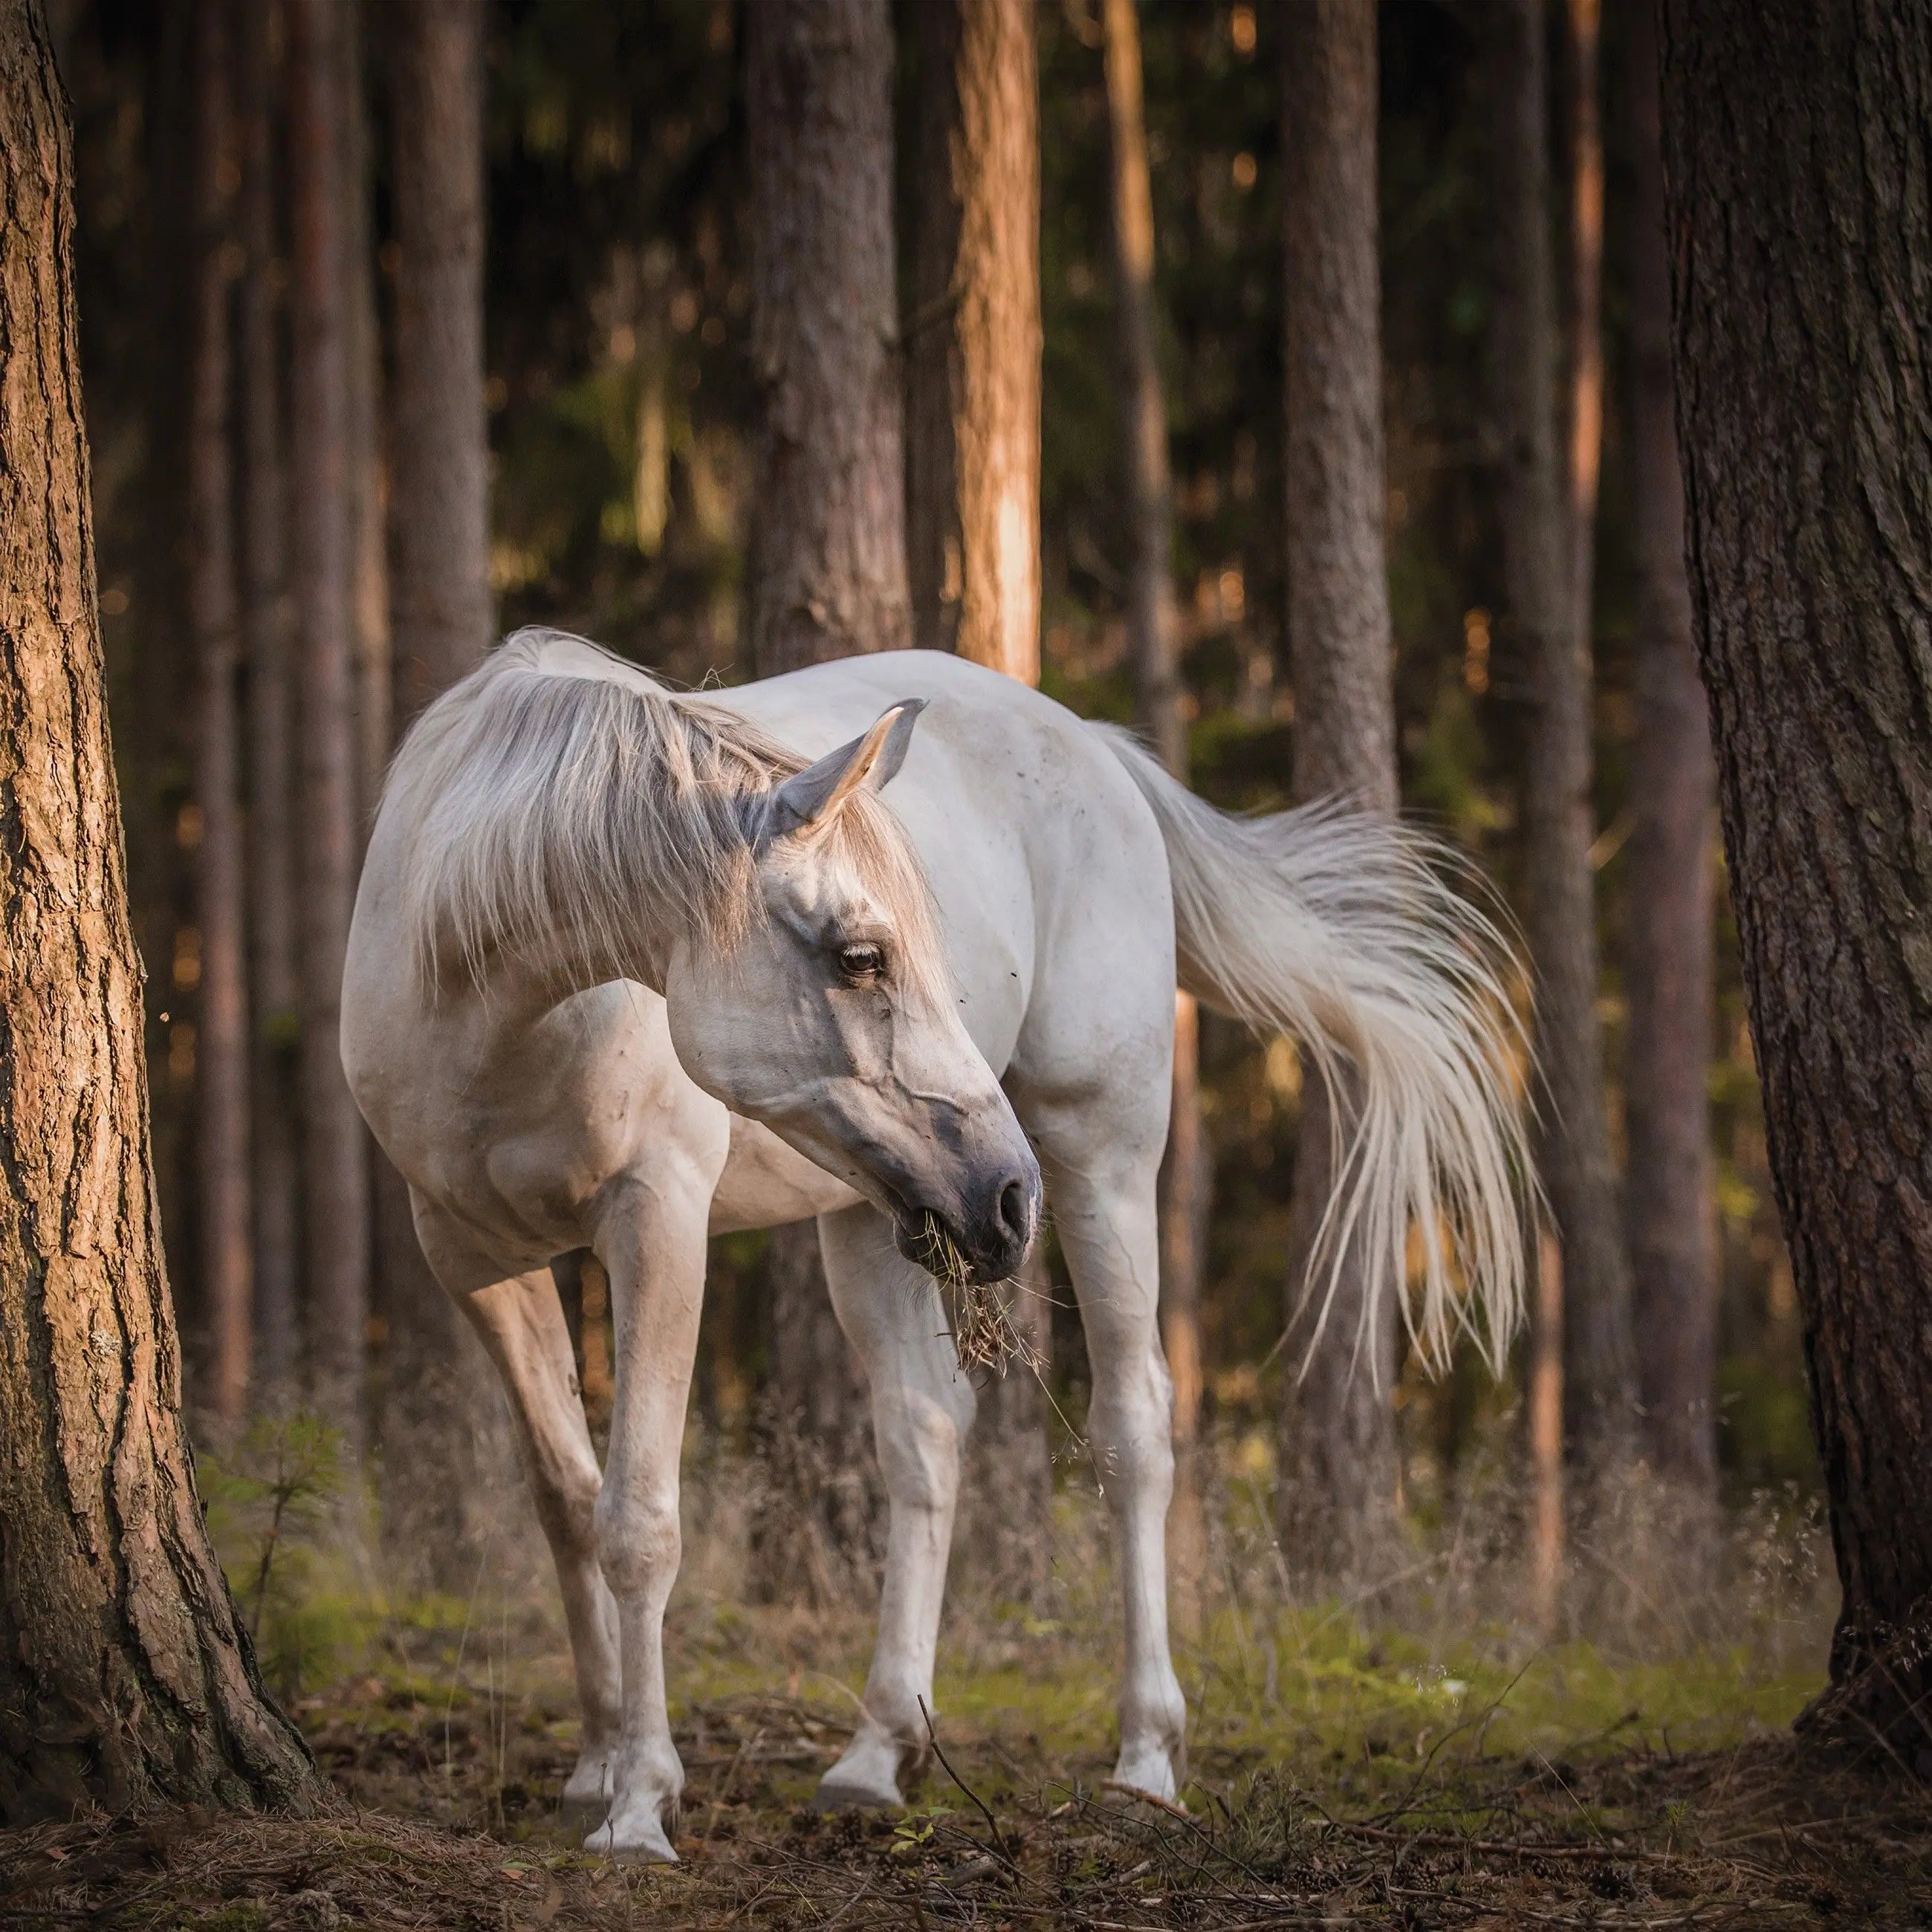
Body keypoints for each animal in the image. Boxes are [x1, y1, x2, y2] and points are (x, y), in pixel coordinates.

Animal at [343, 626, 1522, 1862]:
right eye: (862, 956)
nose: (1008, 1196)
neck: (488, 999)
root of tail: (1095, 748)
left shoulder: (656, 1222)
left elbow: (638, 1521)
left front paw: (638, 1810)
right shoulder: (476, 1264)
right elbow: (568, 1504)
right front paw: (596, 1765)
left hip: (1100, 1155)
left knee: (1133, 1429)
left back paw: (1145, 1759)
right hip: (877, 1211)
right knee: (925, 1439)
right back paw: (877, 1752)